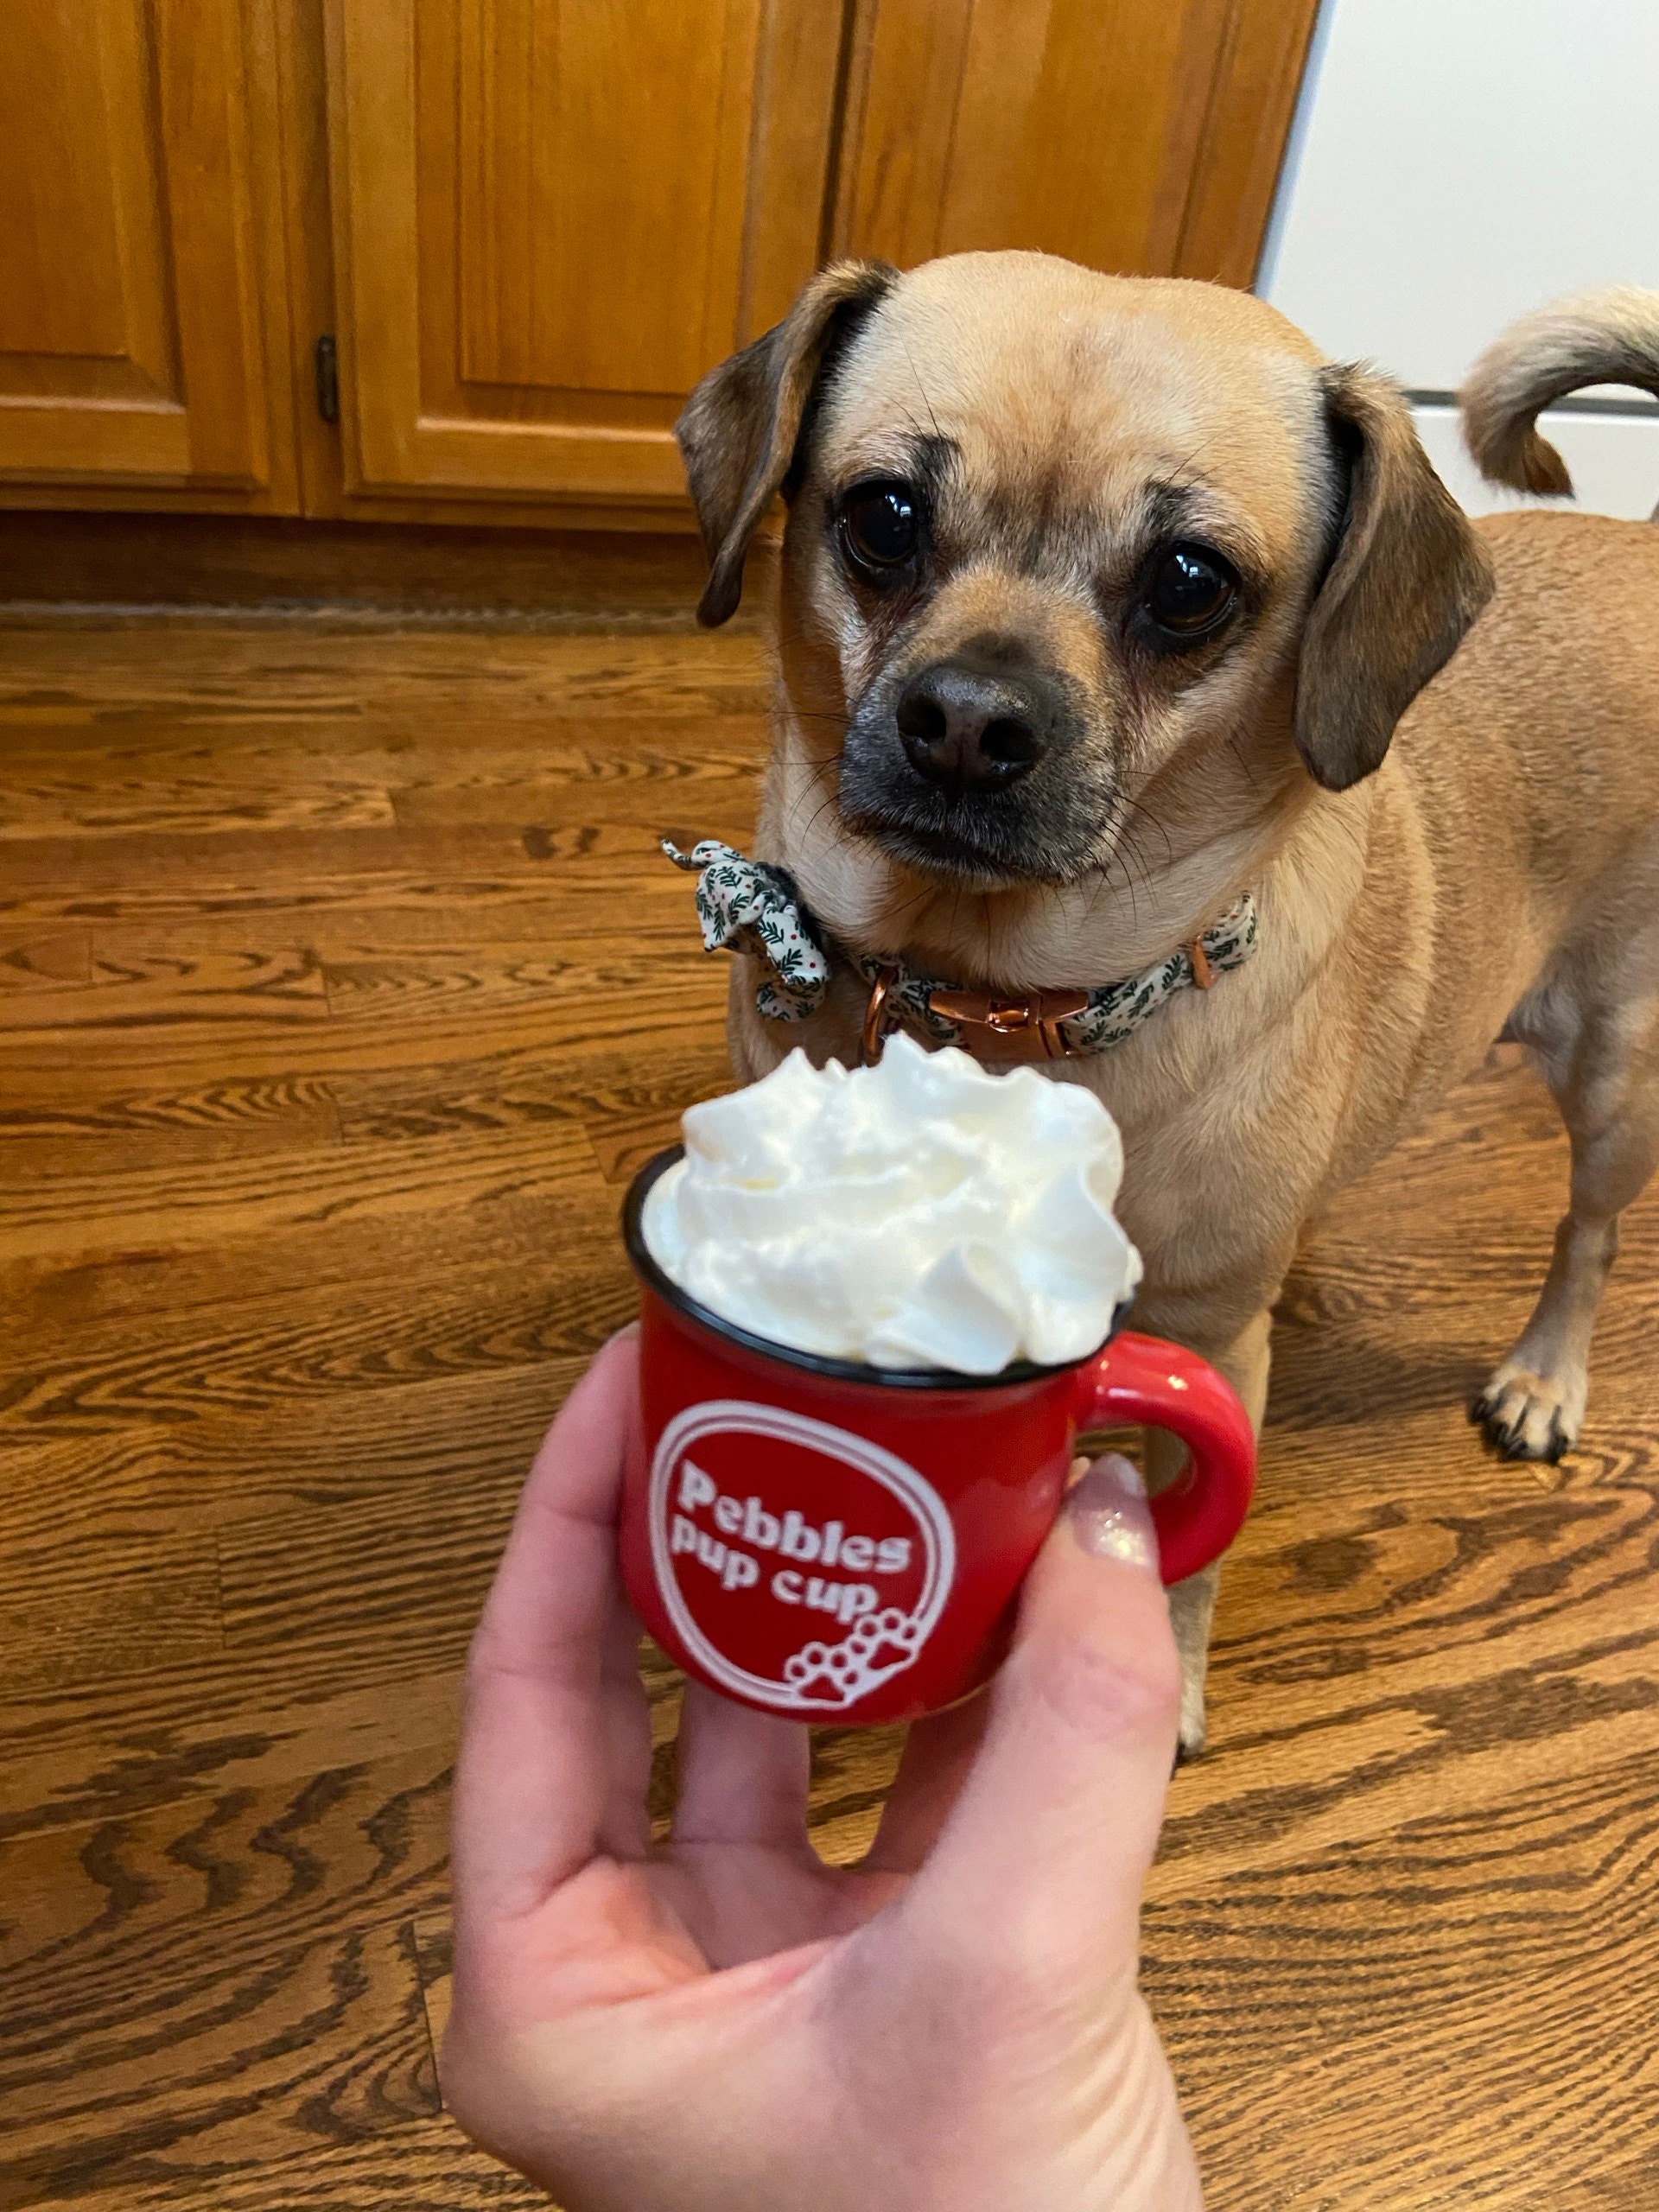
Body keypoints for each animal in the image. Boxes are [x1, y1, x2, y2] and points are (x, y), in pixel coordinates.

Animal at [672, 254, 1659, 1743]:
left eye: (1190, 584)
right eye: (882, 517)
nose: (968, 721)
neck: (995, 1004)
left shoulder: (1208, 1348)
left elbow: (1186, 1536)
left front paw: (1170, 1680)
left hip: (1613, 1076)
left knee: (1588, 1237)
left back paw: (1546, 1374)